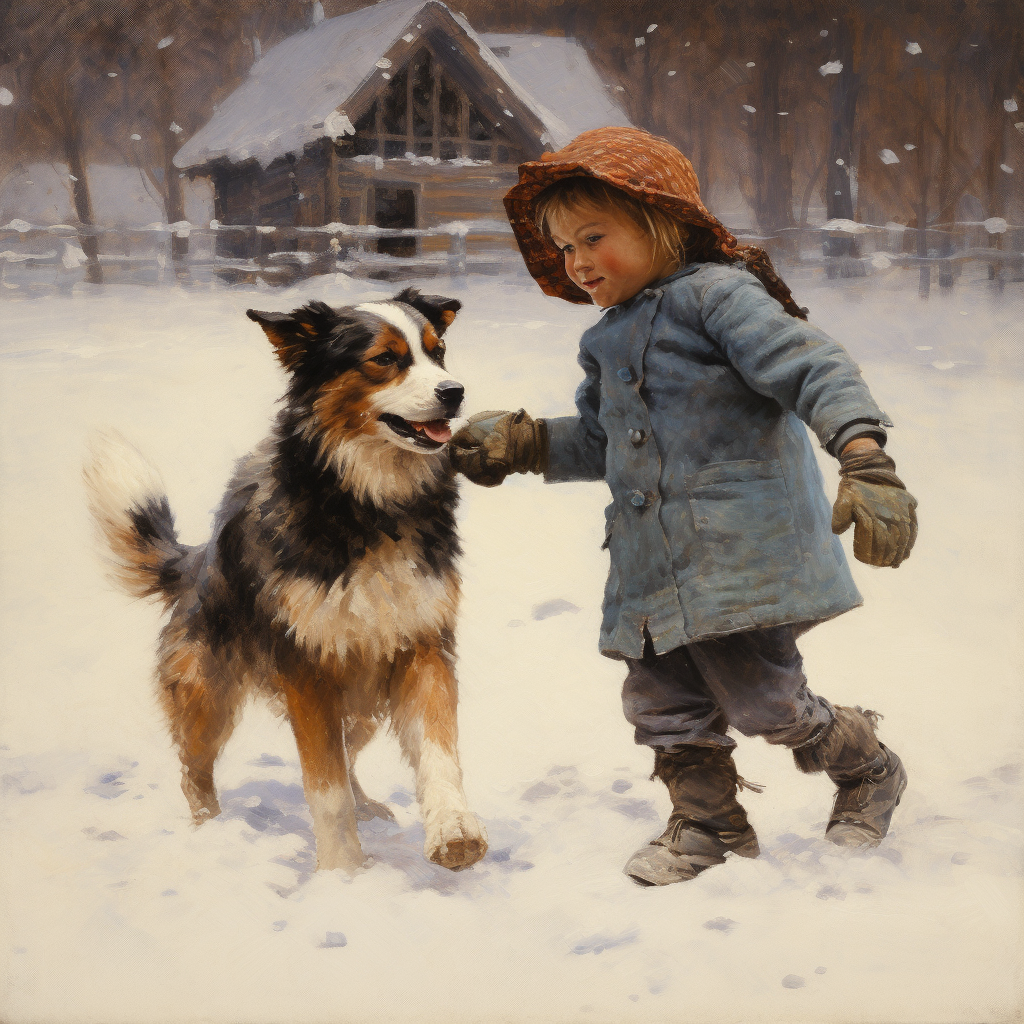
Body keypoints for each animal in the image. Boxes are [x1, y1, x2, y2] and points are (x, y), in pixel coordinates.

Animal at [83, 286, 487, 872]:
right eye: (384, 360)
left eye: (438, 353)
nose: (454, 392)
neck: (366, 505)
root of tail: (198, 559)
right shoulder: (308, 667)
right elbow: (326, 786)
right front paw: (344, 874)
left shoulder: (422, 643)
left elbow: (437, 752)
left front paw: (453, 832)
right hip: (208, 695)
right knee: (194, 770)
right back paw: (210, 833)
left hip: (361, 692)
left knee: (349, 751)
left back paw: (370, 808)